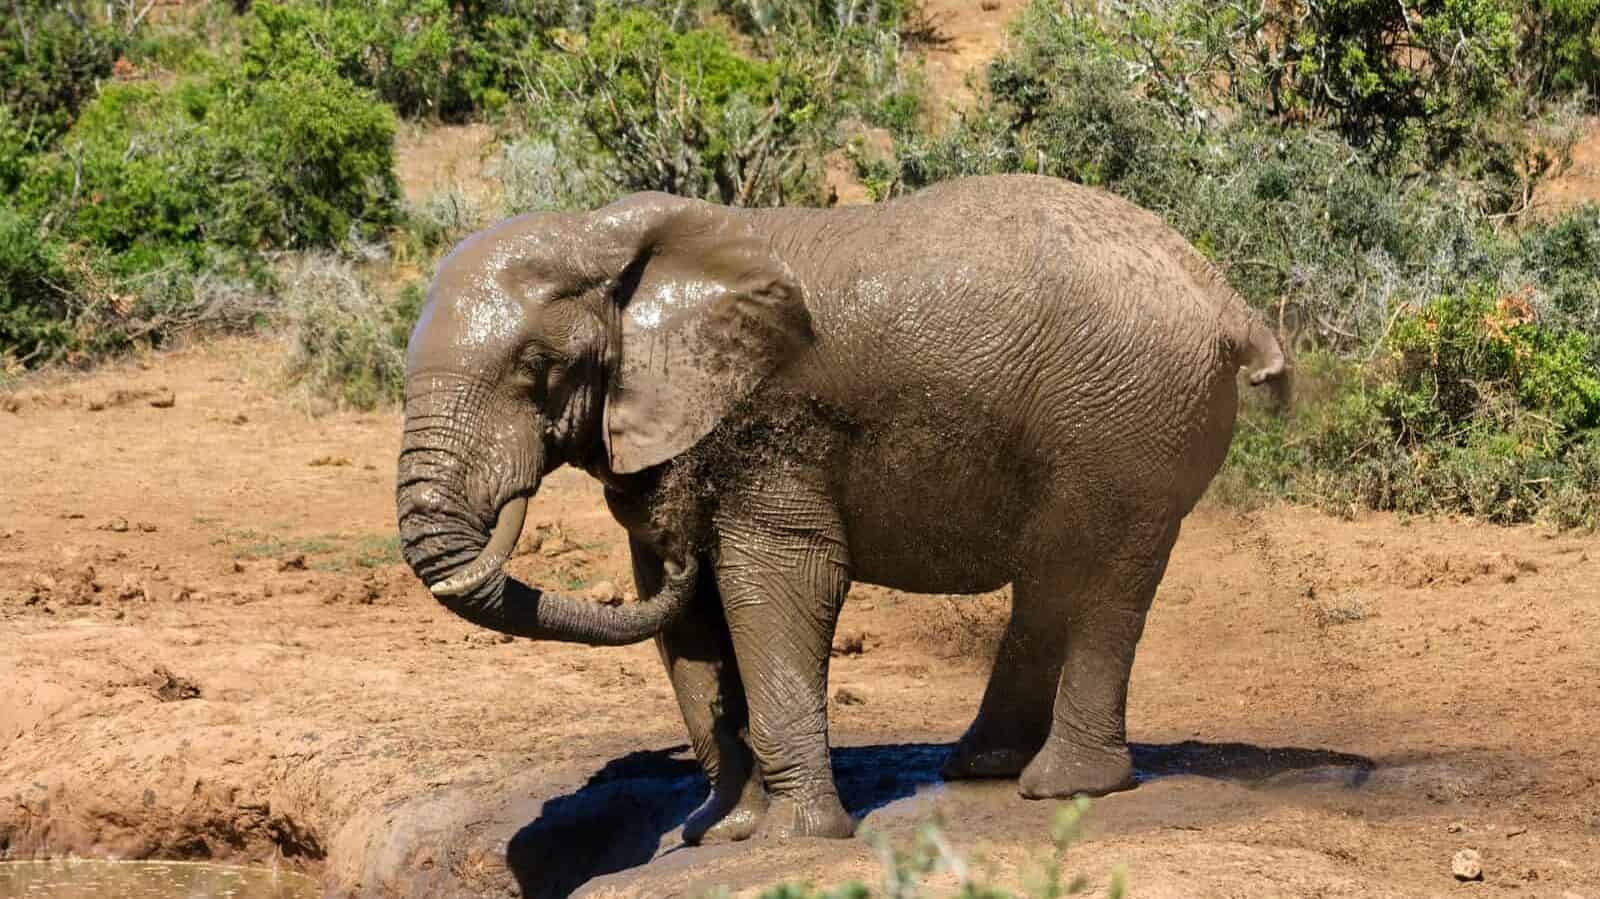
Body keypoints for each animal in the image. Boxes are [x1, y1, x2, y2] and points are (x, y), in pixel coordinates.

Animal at [395, 173, 1289, 843]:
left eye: (536, 368)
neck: (606, 239)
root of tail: (1227, 298)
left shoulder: (768, 425)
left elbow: (780, 582)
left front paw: (796, 836)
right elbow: (685, 621)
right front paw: (722, 829)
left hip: (1130, 415)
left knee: (1101, 579)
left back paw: (1063, 787)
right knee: (1053, 581)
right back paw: (983, 768)